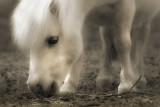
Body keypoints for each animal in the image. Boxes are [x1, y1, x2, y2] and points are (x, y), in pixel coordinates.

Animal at [11, 0, 160, 97]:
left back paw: (139, 78)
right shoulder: (79, 19)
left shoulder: (125, 8)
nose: (35, 87)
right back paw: (104, 79)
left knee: (140, 40)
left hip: (144, 19)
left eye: (53, 40)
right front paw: (69, 86)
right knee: (106, 39)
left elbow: (122, 44)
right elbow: (80, 51)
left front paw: (127, 84)